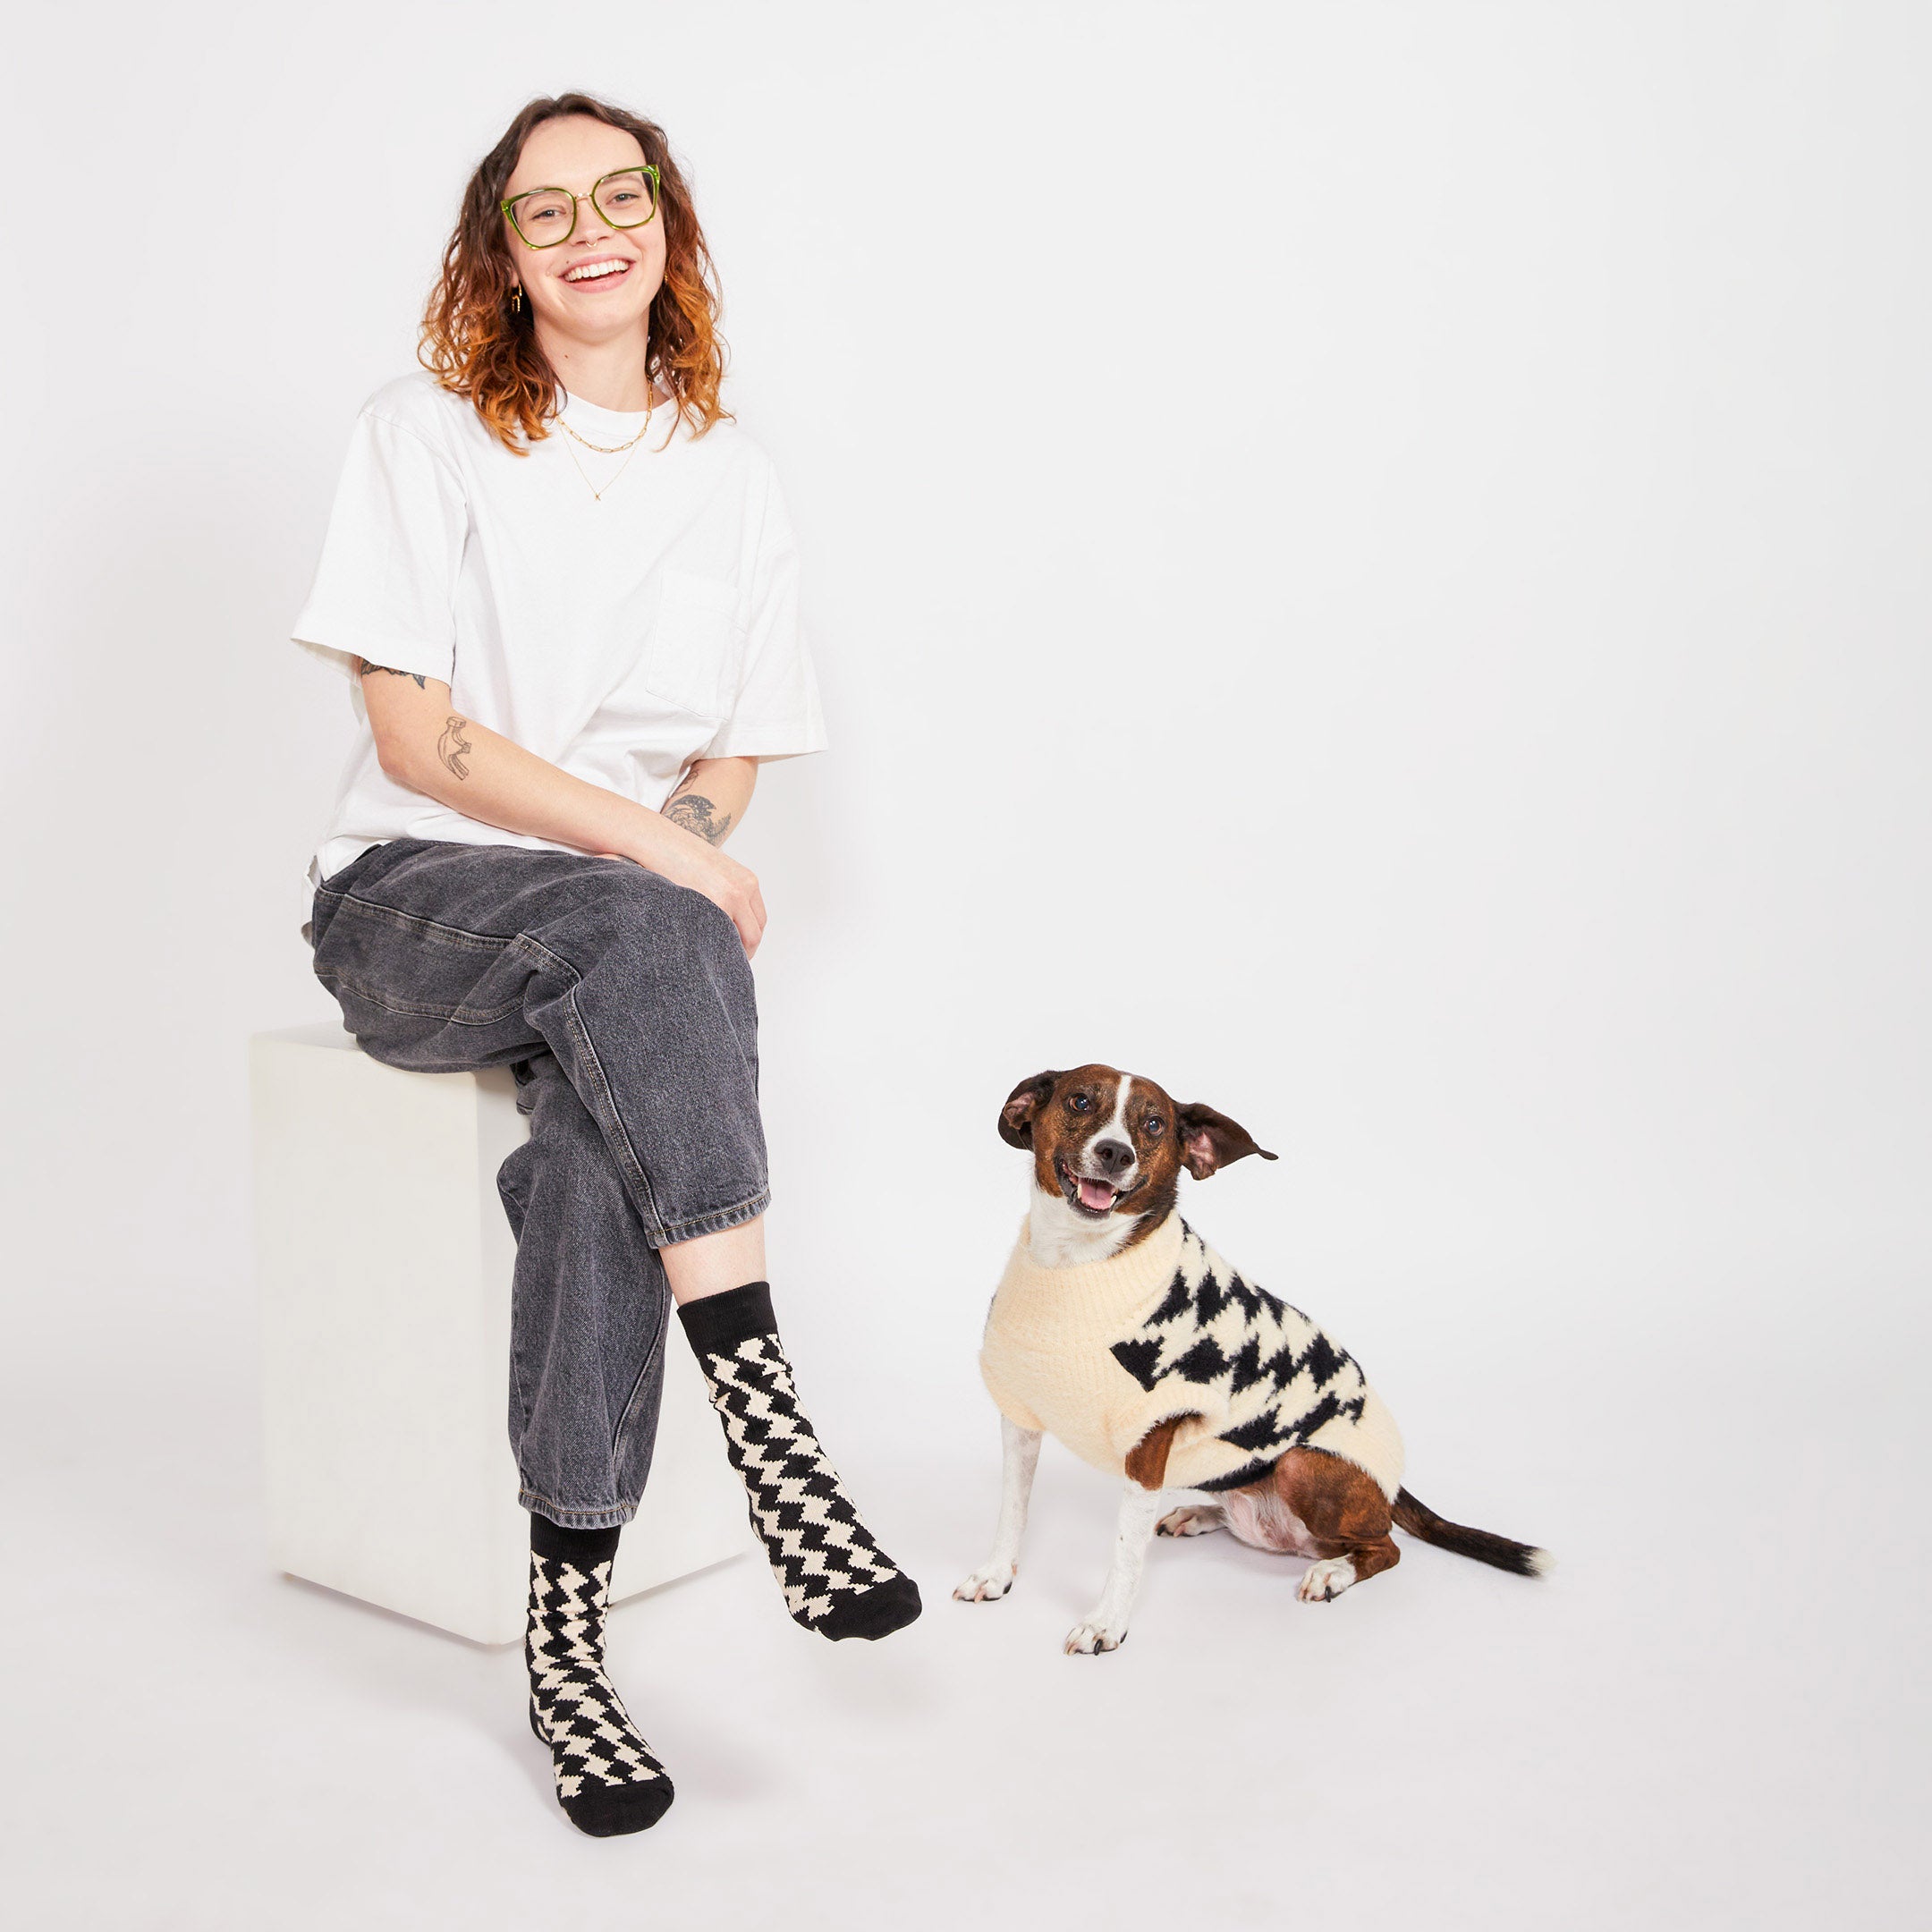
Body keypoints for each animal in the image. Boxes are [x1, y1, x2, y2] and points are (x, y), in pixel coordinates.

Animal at [954, 1066, 1553, 1653]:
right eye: (1080, 1101)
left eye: (1153, 1123)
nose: (1115, 1153)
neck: (1078, 1264)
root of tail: (1392, 1484)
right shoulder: (1019, 1420)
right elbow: (1013, 1510)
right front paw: (997, 1574)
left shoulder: (1148, 1443)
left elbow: (1125, 1548)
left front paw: (1106, 1623)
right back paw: (1202, 1513)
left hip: (1301, 1464)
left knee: (1384, 1547)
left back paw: (1333, 1572)